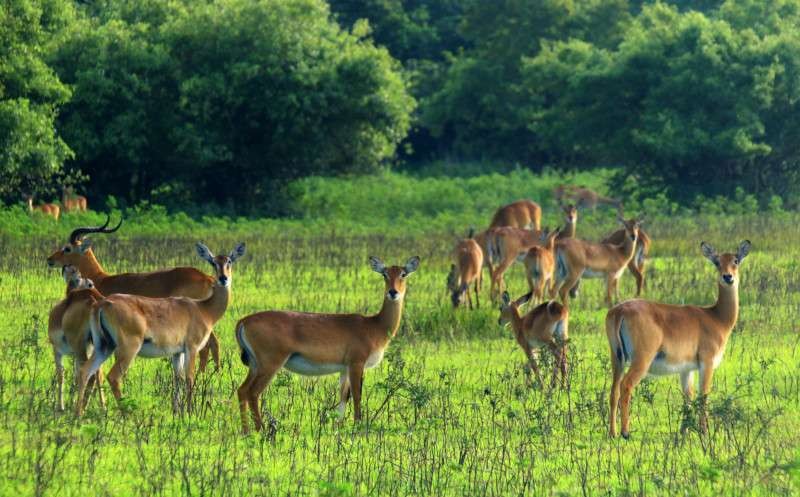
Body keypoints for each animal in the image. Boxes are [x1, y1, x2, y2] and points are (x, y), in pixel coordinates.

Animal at [46, 216, 220, 372]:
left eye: (67, 248)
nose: (49, 260)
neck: (101, 279)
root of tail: (208, 278)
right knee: (214, 343)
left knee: (207, 346)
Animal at [48, 265, 106, 411]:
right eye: (89, 283)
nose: (66, 267)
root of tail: (93, 299)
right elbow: (75, 375)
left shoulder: (57, 350)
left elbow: (61, 375)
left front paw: (61, 406)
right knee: (97, 373)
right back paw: (102, 408)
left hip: (80, 348)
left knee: (88, 374)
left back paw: (80, 409)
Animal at [75, 243, 245, 416]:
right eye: (213, 262)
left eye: (229, 261)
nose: (223, 278)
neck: (203, 309)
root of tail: (102, 304)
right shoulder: (191, 348)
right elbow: (190, 379)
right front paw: (190, 412)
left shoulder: (177, 353)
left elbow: (178, 379)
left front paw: (177, 412)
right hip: (128, 349)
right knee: (113, 377)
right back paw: (127, 415)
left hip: (103, 346)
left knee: (85, 372)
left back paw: (78, 414)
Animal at [234, 256, 420, 434]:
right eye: (384, 274)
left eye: (403, 274)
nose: (393, 292)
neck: (374, 326)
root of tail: (243, 321)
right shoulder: (357, 364)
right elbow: (357, 396)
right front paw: (358, 427)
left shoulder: (345, 369)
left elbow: (343, 398)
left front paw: (338, 428)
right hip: (270, 364)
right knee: (253, 392)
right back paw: (261, 430)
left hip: (255, 366)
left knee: (242, 390)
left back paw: (245, 431)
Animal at [606, 240, 751, 438]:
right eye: (717, 262)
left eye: (736, 260)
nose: (728, 277)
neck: (717, 318)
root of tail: (619, 311)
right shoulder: (707, 362)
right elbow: (703, 396)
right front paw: (704, 432)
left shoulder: (686, 369)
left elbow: (687, 398)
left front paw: (684, 432)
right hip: (641, 360)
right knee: (625, 386)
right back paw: (625, 432)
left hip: (617, 358)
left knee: (613, 390)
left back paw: (612, 433)